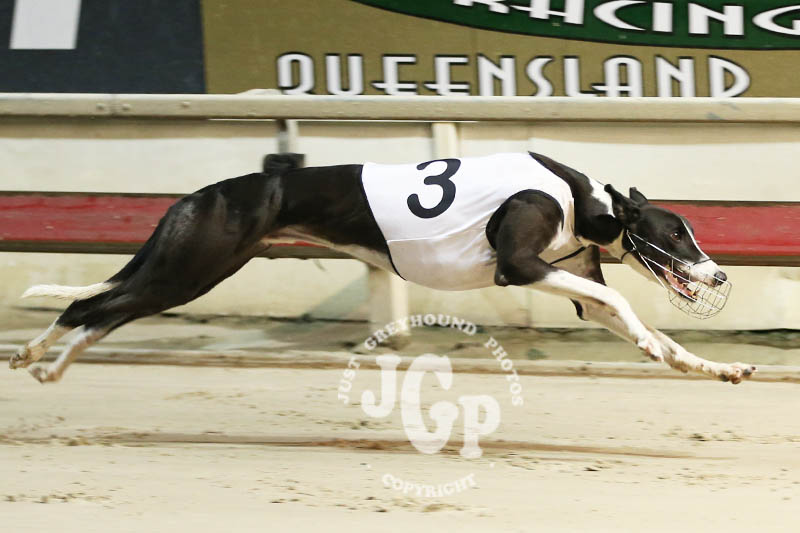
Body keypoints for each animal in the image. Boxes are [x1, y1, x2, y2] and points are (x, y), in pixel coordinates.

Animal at [11, 151, 756, 384]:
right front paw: (663, 347)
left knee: (101, 309)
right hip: (194, 266)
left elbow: (644, 328)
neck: (583, 200)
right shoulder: (519, 265)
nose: (720, 276)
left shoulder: (577, 283)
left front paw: (713, 365)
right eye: (675, 232)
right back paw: (40, 357)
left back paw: (42, 360)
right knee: (90, 307)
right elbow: (631, 309)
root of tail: (196, 196)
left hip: (186, 267)